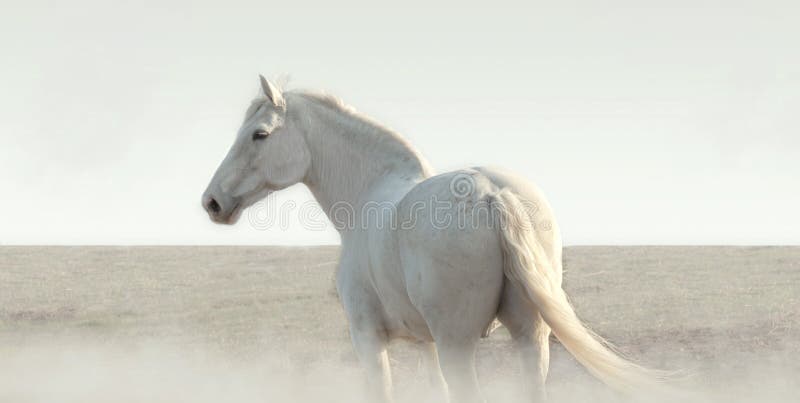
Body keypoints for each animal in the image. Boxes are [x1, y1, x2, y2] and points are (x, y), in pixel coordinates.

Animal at [202, 76, 664, 403]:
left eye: (260, 134)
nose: (212, 201)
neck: (369, 193)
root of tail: (492, 193)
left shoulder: (368, 340)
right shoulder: (424, 344)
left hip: (458, 346)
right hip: (530, 338)